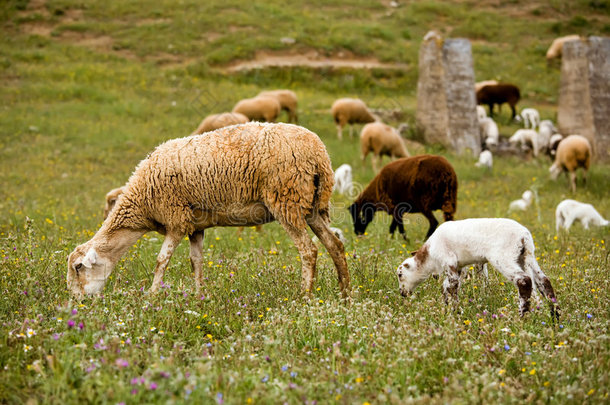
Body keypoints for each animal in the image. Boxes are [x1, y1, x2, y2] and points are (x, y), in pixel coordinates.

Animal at [67, 123, 350, 296]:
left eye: (78, 267)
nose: (77, 302)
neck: (141, 203)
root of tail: (319, 154)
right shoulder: (195, 226)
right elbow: (196, 261)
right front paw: (198, 295)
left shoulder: (176, 218)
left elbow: (161, 260)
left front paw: (152, 296)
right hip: (312, 206)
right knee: (335, 245)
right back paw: (345, 293)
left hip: (286, 200)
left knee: (308, 250)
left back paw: (304, 296)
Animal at [394, 218, 556, 316]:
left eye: (400, 275)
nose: (402, 294)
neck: (430, 256)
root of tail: (523, 236)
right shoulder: (458, 267)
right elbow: (447, 287)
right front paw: (447, 308)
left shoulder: (449, 261)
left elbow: (451, 287)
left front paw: (454, 312)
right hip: (527, 257)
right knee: (544, 282)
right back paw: (554, 317)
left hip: (504, 257)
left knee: (524, 281)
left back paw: (523, 317)